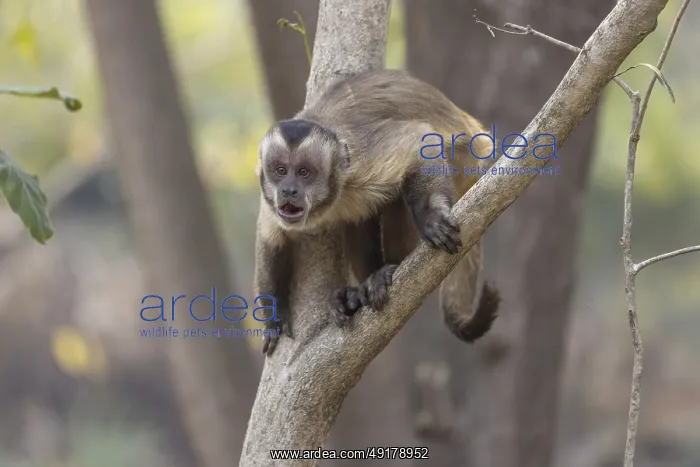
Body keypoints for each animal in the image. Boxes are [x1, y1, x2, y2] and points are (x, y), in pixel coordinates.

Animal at [254, 68, 501, 356]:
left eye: (304, 172)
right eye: (280, 171)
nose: (289, 190)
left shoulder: (363, 159)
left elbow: (421, 143)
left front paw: (432, 217)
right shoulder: (269, 200)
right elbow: (271, 239)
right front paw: (274, 313)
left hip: (464, 162)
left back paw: (390, 269)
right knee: (358, 218)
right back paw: (357, 295)